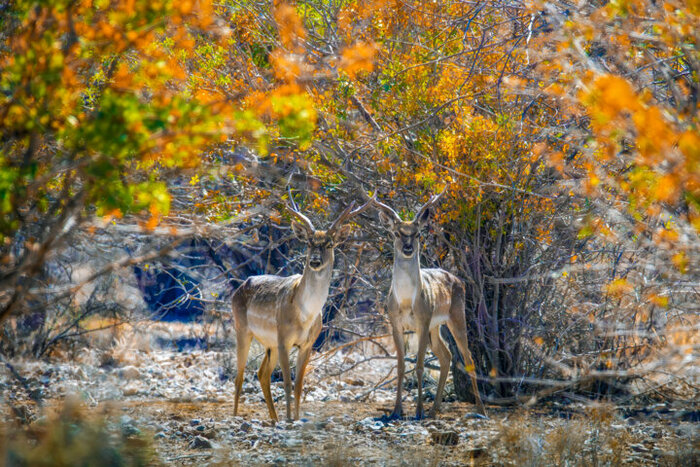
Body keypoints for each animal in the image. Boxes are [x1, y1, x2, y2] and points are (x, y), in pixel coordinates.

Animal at [231, 196, 374, 422]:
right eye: (308, 242)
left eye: (329, 244)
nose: (315, 260)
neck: (305, 315)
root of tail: (238, 288)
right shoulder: (284, 339)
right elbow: (287, 383)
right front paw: (290, 419)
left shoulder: (308, 344)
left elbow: (298, 385)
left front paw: (295, 418)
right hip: (242, 328)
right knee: (240, 376)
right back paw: (236, 416)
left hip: (269, 343)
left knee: (262, 374)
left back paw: (274, 418)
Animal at [374, 191, 484, 420]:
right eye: (396, 233)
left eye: (417, 234)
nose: (407, 248)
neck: (406, 302)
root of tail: (459, 281)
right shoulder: (395, 322)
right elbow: (400, 366)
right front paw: (396, 411)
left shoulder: (422, 321)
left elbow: (419, 366)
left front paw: (418, 411)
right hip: (436, 326)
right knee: (446, 356)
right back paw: (435, 409)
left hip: (456, 316)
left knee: (468, 357)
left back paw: (480, 408)